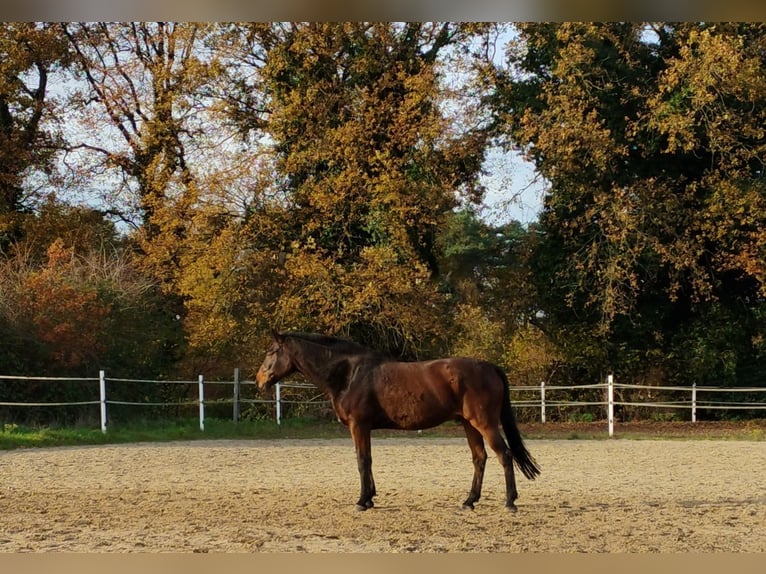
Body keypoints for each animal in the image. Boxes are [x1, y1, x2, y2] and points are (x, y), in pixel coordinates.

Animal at [255, 331, 540, 512]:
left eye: (271, 351)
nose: (259, 380)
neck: (350, 374)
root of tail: (489, 367)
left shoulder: (359, 425)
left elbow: (362, 460)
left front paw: (362, 501)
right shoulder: (363, 428)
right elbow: (368, 460)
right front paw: (370, 498)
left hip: (485, 423)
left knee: (504, 455)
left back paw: (510, 502)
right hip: (469, 424)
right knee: (480, 458)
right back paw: (469, 501)